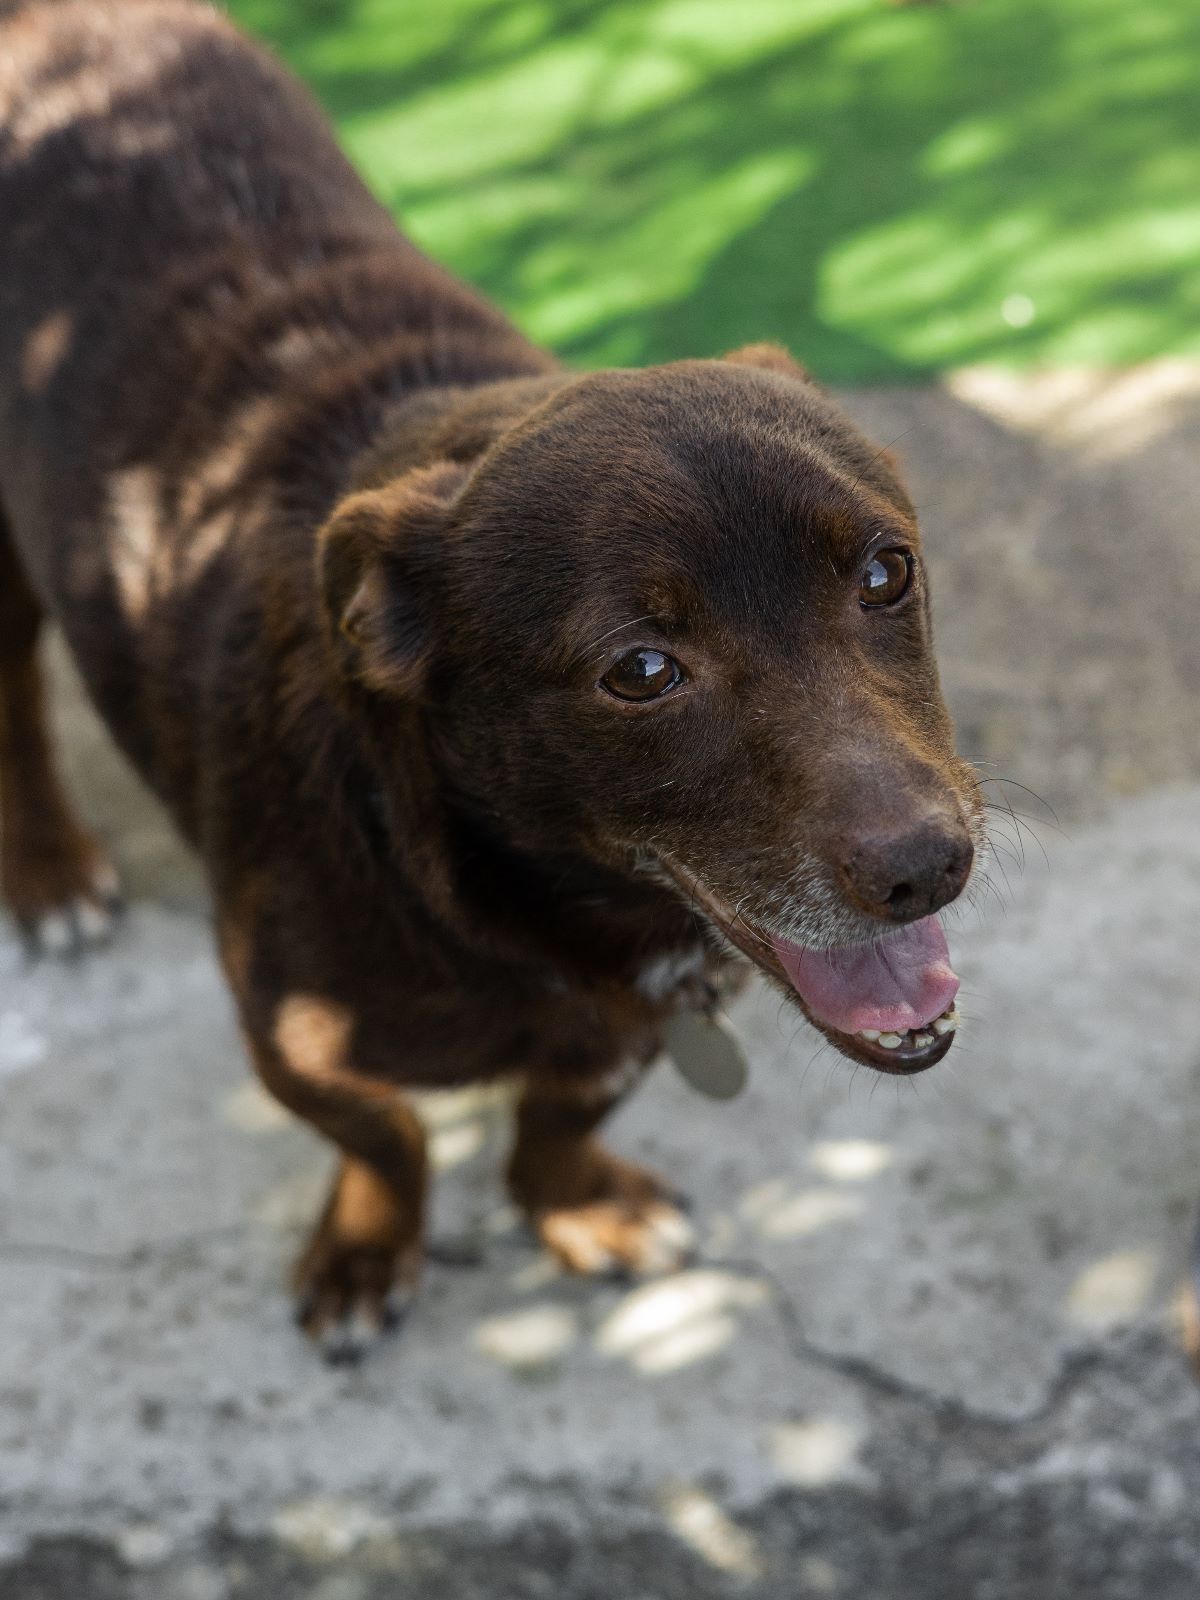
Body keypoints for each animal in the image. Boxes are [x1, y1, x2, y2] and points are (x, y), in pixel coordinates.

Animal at [0, 0, 985, 1356]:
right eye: (641, 668)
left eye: (888, 572)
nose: (927, 868)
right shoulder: (293, 1044)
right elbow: (388, 1138)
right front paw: (368, 1252)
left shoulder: (642, 1016)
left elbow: (560, 1112)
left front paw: (576, 1205)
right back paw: (47, 871)